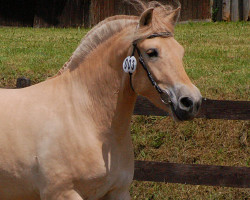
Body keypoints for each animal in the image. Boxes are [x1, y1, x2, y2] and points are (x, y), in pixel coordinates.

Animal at [0, 0, 201, 199]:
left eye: (180, 52)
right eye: (152, 52)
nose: (191, 102)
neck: (86, 118)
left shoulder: (118, 191)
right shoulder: (62, 193)